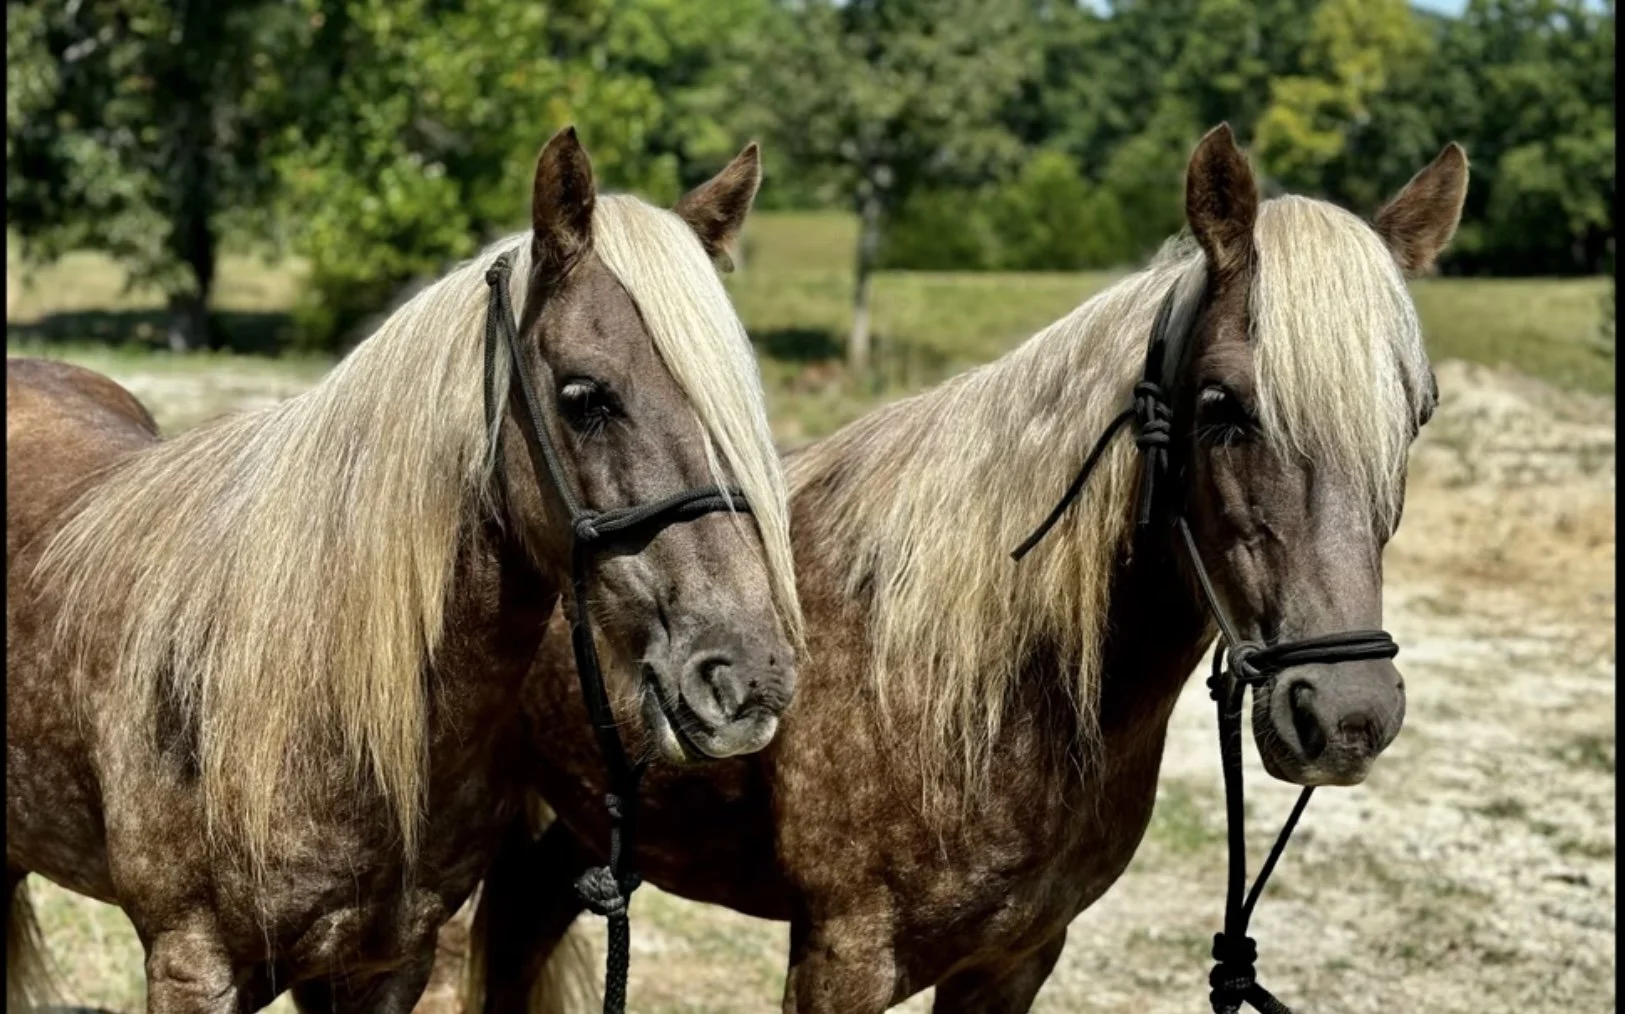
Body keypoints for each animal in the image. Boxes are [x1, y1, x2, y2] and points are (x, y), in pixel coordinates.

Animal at [443, 124, 1470, 1013]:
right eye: (1223, 404)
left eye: (1416, 412)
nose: (1346, 714)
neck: (994, 680)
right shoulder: (842, 961)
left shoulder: (1015, 960)